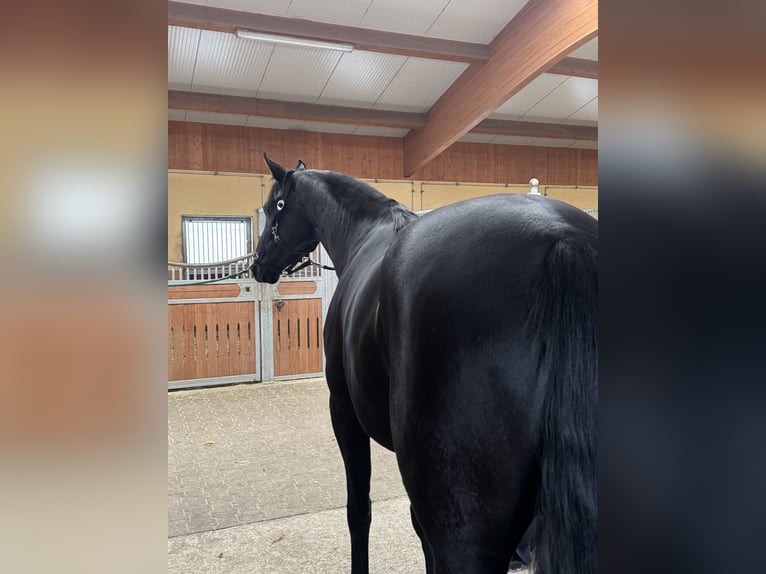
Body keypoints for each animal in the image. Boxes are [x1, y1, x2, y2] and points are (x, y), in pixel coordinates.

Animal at [251, 154, 598, 574]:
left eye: (274, 207)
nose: (258, 266)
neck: (365, 234)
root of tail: (563, 241)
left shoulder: (344, 412)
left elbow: (359, 512)